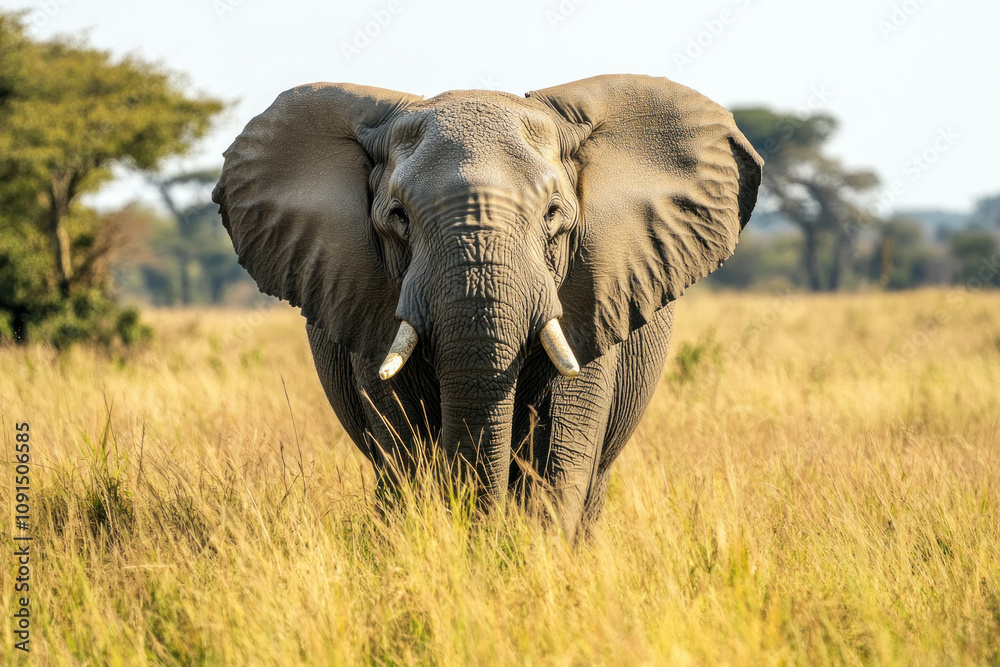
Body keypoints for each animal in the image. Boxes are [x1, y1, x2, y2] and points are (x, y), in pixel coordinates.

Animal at [213, 74, 762, 540]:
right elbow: (406, 445)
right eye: (398, 217)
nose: (483, 528)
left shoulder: (595, 292)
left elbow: (556, 454)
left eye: (554, 214)